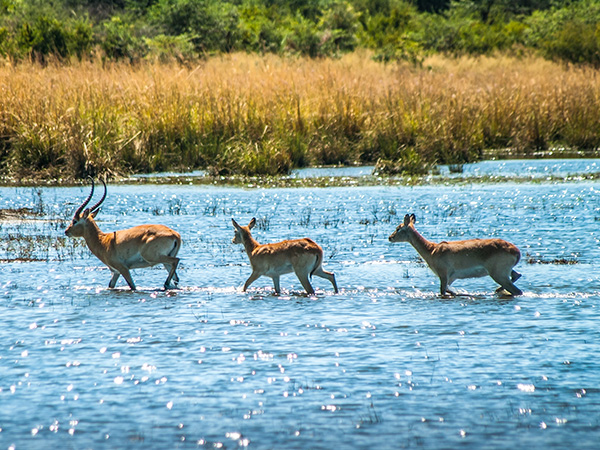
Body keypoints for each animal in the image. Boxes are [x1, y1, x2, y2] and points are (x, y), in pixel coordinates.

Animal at [390, 214, 520, 298]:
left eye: (398, 228)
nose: (390, 237)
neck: (432, 250)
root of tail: (516, 251)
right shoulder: (451, 278)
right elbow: (449, 290)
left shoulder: (443, 275)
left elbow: (442, 292)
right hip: (505, 273)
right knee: (517, 276)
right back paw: (497, 290)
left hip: (498, 274)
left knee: (517, 291)